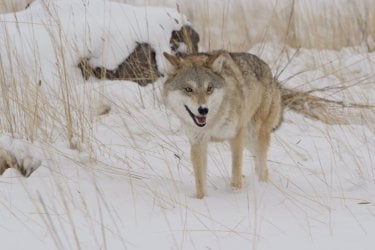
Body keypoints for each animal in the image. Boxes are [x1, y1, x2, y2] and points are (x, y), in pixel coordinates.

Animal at [163, 51, 284, 199]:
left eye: (209, 88)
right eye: (188, 89)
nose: (203, 110)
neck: (212, 123)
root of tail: (268, 70)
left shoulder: (236, 137)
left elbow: (236, 171)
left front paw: (236, 193)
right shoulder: (198, 143)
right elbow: (200, 179)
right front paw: (201, 199)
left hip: (253, 136)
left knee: (263, 167)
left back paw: (263, 186)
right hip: (249, 142)